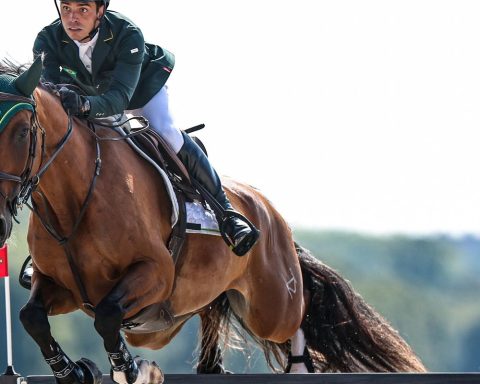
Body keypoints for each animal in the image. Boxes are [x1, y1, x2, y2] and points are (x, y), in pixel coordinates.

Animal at [0, 57, 426, 384]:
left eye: (21, 132)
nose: (2, 221)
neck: (74, 201)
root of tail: (272, 215)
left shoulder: (155, 273)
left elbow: (107, 317)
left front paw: (129, 370)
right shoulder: (60, 285)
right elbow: (30, 317)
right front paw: (73, 371)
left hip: (271, 306)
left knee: (298, 315)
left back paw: (298, 365)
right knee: (212, 314)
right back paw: (210, 366)